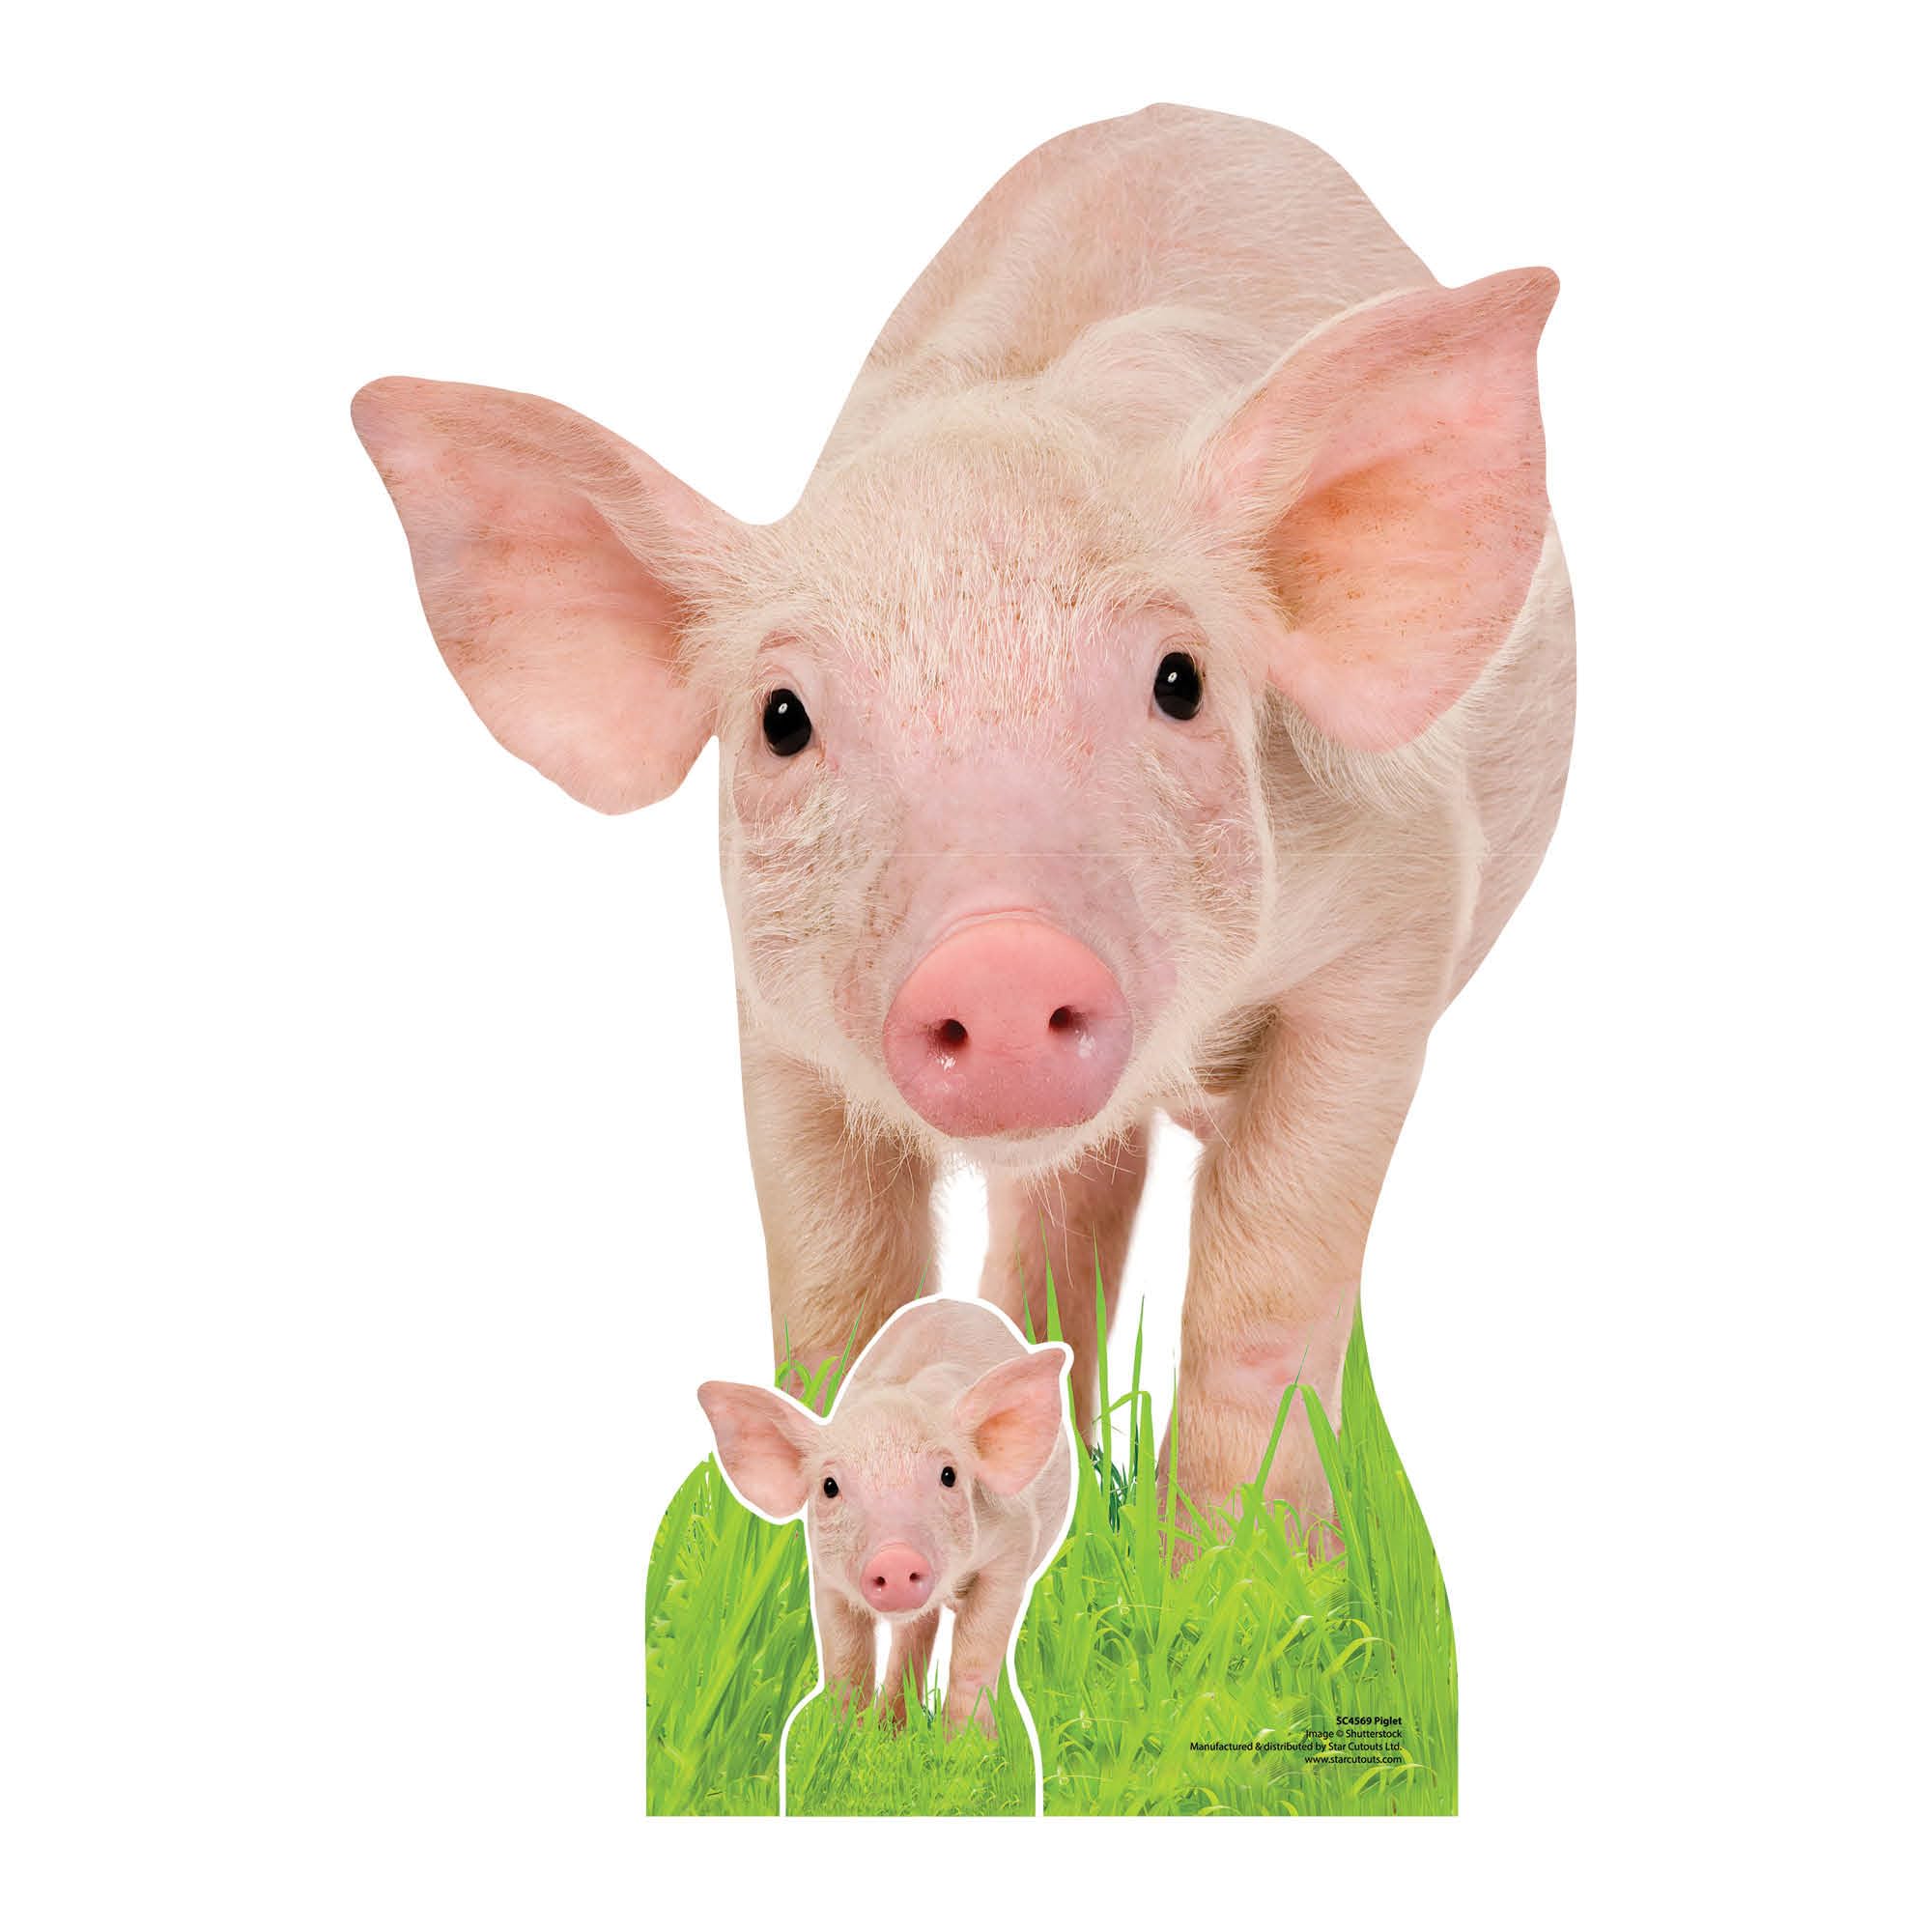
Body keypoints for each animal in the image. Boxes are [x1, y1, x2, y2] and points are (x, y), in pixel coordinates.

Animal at [352, 103, 1572, 1546]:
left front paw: (1240, 1567)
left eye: (1180, 681)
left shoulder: (1395, 921)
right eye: (781, 717)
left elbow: (1269, 1280)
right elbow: (832, 1282)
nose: (998, 957)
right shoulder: (771, 1011)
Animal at [697, 1299, 1074, 1736]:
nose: (895, 1558)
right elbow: (847, 1661)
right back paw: (892, 1730)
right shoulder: (825, 1574)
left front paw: (968, 1747)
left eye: (949, 1475)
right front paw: (844, 1740)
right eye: (829, 1486)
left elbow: (975, 1655)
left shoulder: (1013, 1547)